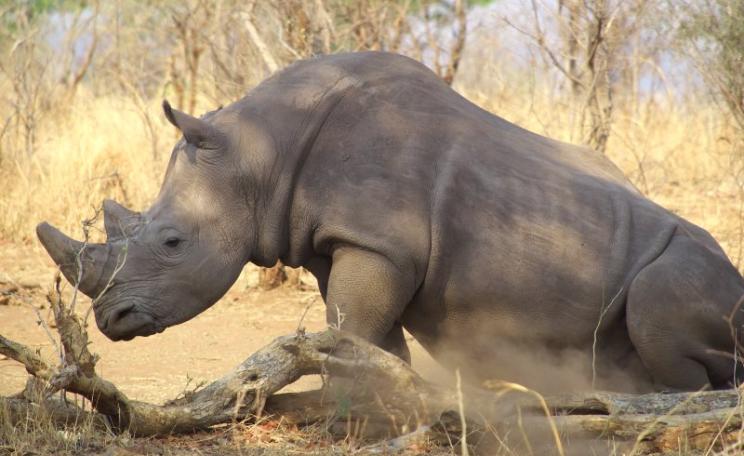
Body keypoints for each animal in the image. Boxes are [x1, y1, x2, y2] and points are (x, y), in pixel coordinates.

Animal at [37, 52, 744, 391]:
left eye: (173, 241)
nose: (112, 319)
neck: (260, 153)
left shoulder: (380, 245)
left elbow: (352, 326)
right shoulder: (345, 243)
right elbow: (368, 335)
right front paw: (384, 395)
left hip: (691, 268)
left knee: (662, 312)